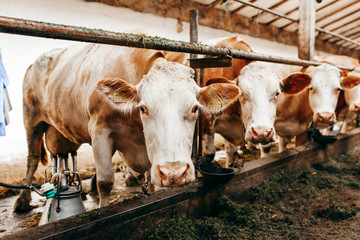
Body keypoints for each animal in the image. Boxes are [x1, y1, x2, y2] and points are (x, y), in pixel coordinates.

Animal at [14, 43, 239, 212]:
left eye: (194, 108)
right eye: (143, 108)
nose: (173, 173)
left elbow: (151, 183)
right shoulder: (100, 131)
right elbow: (105, 181)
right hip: (31, 121)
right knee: (32, 159)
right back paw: (23, 200)